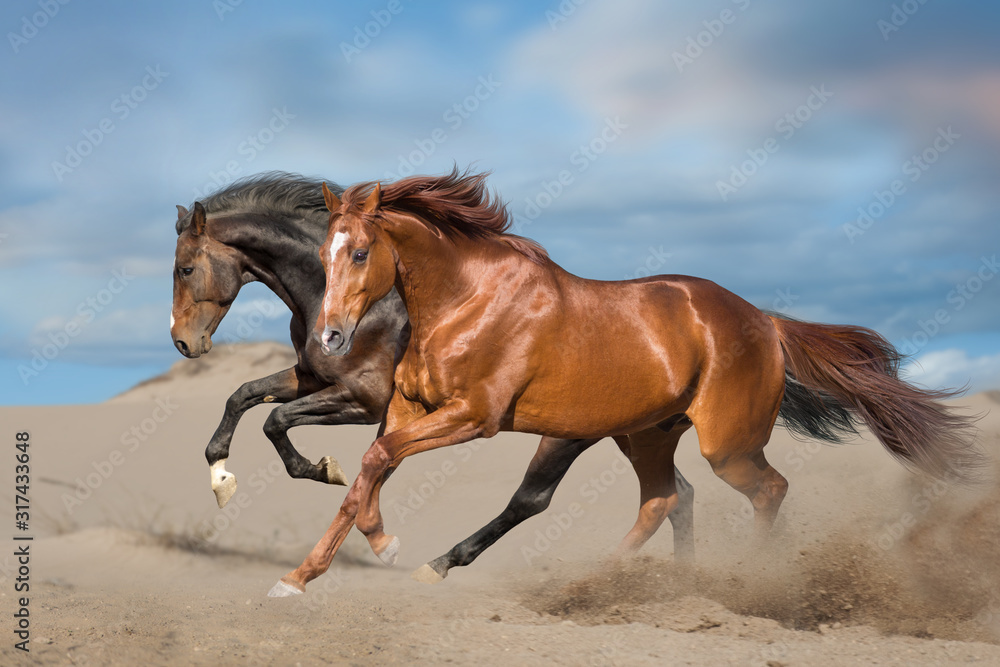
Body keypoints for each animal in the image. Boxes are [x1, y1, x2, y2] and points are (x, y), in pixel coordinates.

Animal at [270, 168, 980, 596]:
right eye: (323, 252)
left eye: (360, 252)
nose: (329, 338)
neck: (467, 300)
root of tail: (766, 322)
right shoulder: (409, 409)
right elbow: (369, 471)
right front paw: (304, 575)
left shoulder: (475, 417)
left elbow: (375, 462)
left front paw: (381, 548)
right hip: (647, 434)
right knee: (663, 499)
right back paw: (623, 582)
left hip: (726, 444)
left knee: (768, 489)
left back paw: (747, 578)